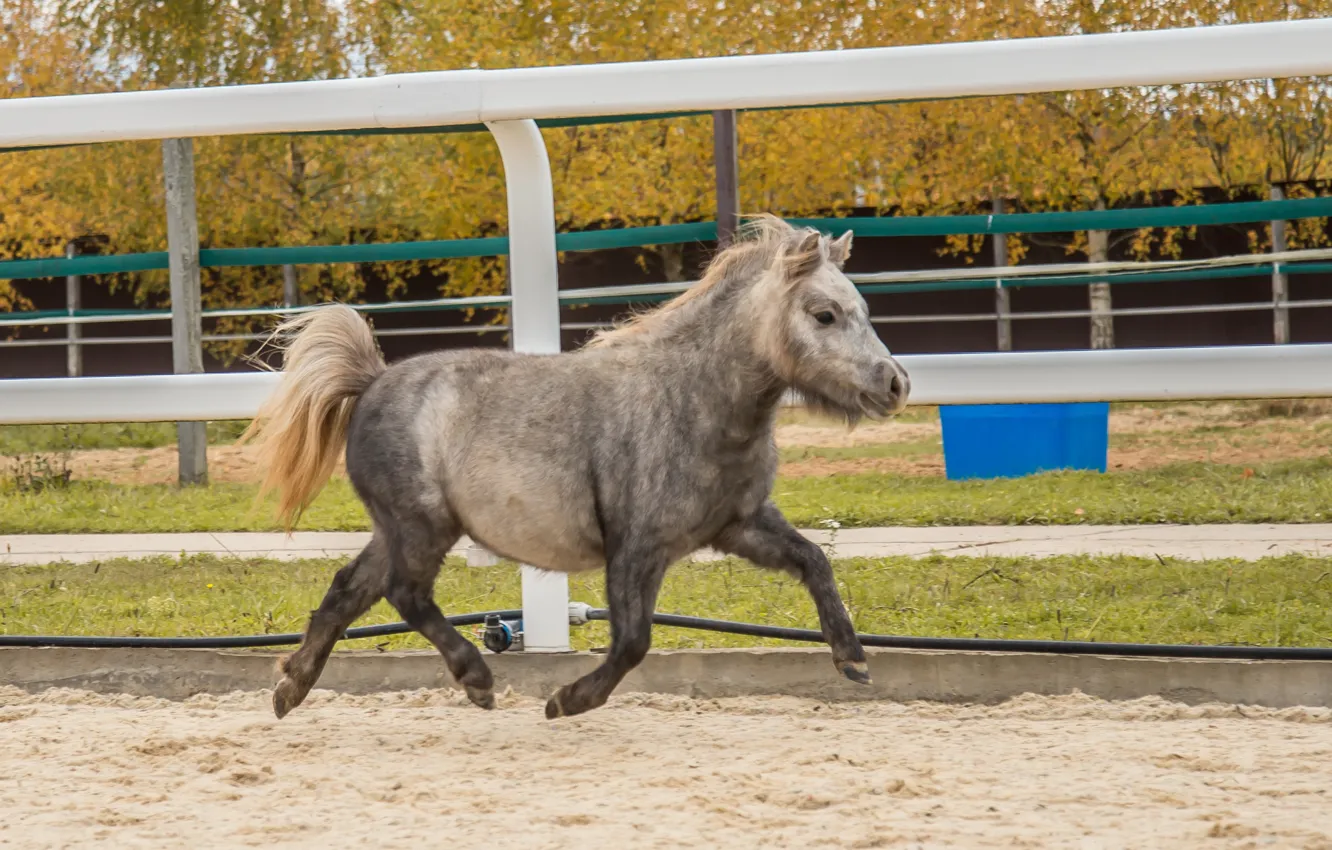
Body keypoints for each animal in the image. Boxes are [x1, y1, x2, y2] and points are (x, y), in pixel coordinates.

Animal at [245, 215, 911, 724]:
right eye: (824, 314)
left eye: (863, 308)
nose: (896, 384)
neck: (689, 399)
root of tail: (371, 381)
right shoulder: (636, 547)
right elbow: (634, 642)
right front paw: (566, 700)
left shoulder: (739, 525)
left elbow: (814, 560)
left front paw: (853, 659)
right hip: (422, 527)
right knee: (405, 595)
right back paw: (476, 679)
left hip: (398, 531)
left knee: (348, 589)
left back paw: (289, 687)